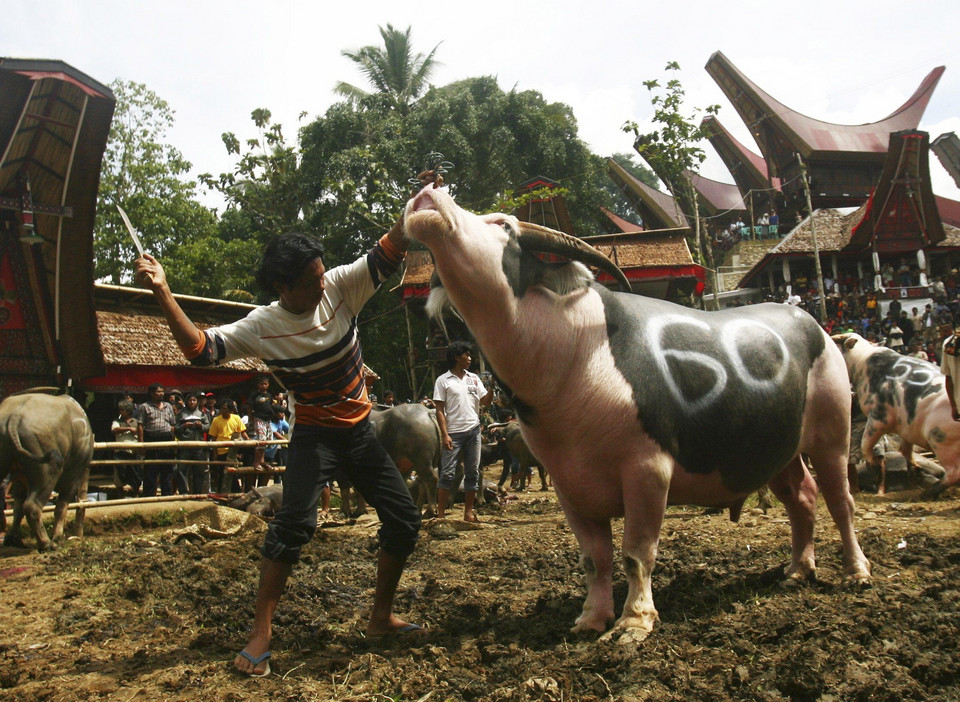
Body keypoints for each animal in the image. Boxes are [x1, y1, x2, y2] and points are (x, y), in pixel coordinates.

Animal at [0, 394, 94, 552]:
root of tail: (14, 417)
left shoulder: (19, 478)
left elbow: (17, 508)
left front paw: (13, 539)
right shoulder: (73, 475)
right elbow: (61, 507)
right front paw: (58, 537)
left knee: (23, 505)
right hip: (48, 471)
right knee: (32, 506)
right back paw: (47, 543)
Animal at [404, 186, 872, 644]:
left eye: (502, 224)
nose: (427, 195)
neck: (570, 357)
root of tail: (814, 326)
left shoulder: (648, 470)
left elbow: (636, 553)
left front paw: (634, 621)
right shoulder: (567, 483)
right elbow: (594, 558)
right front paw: (592, 618)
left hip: (832, 435)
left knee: (840, 499)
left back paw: (857, 572)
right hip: (777, 449)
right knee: (802, 497)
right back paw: (797, 571)